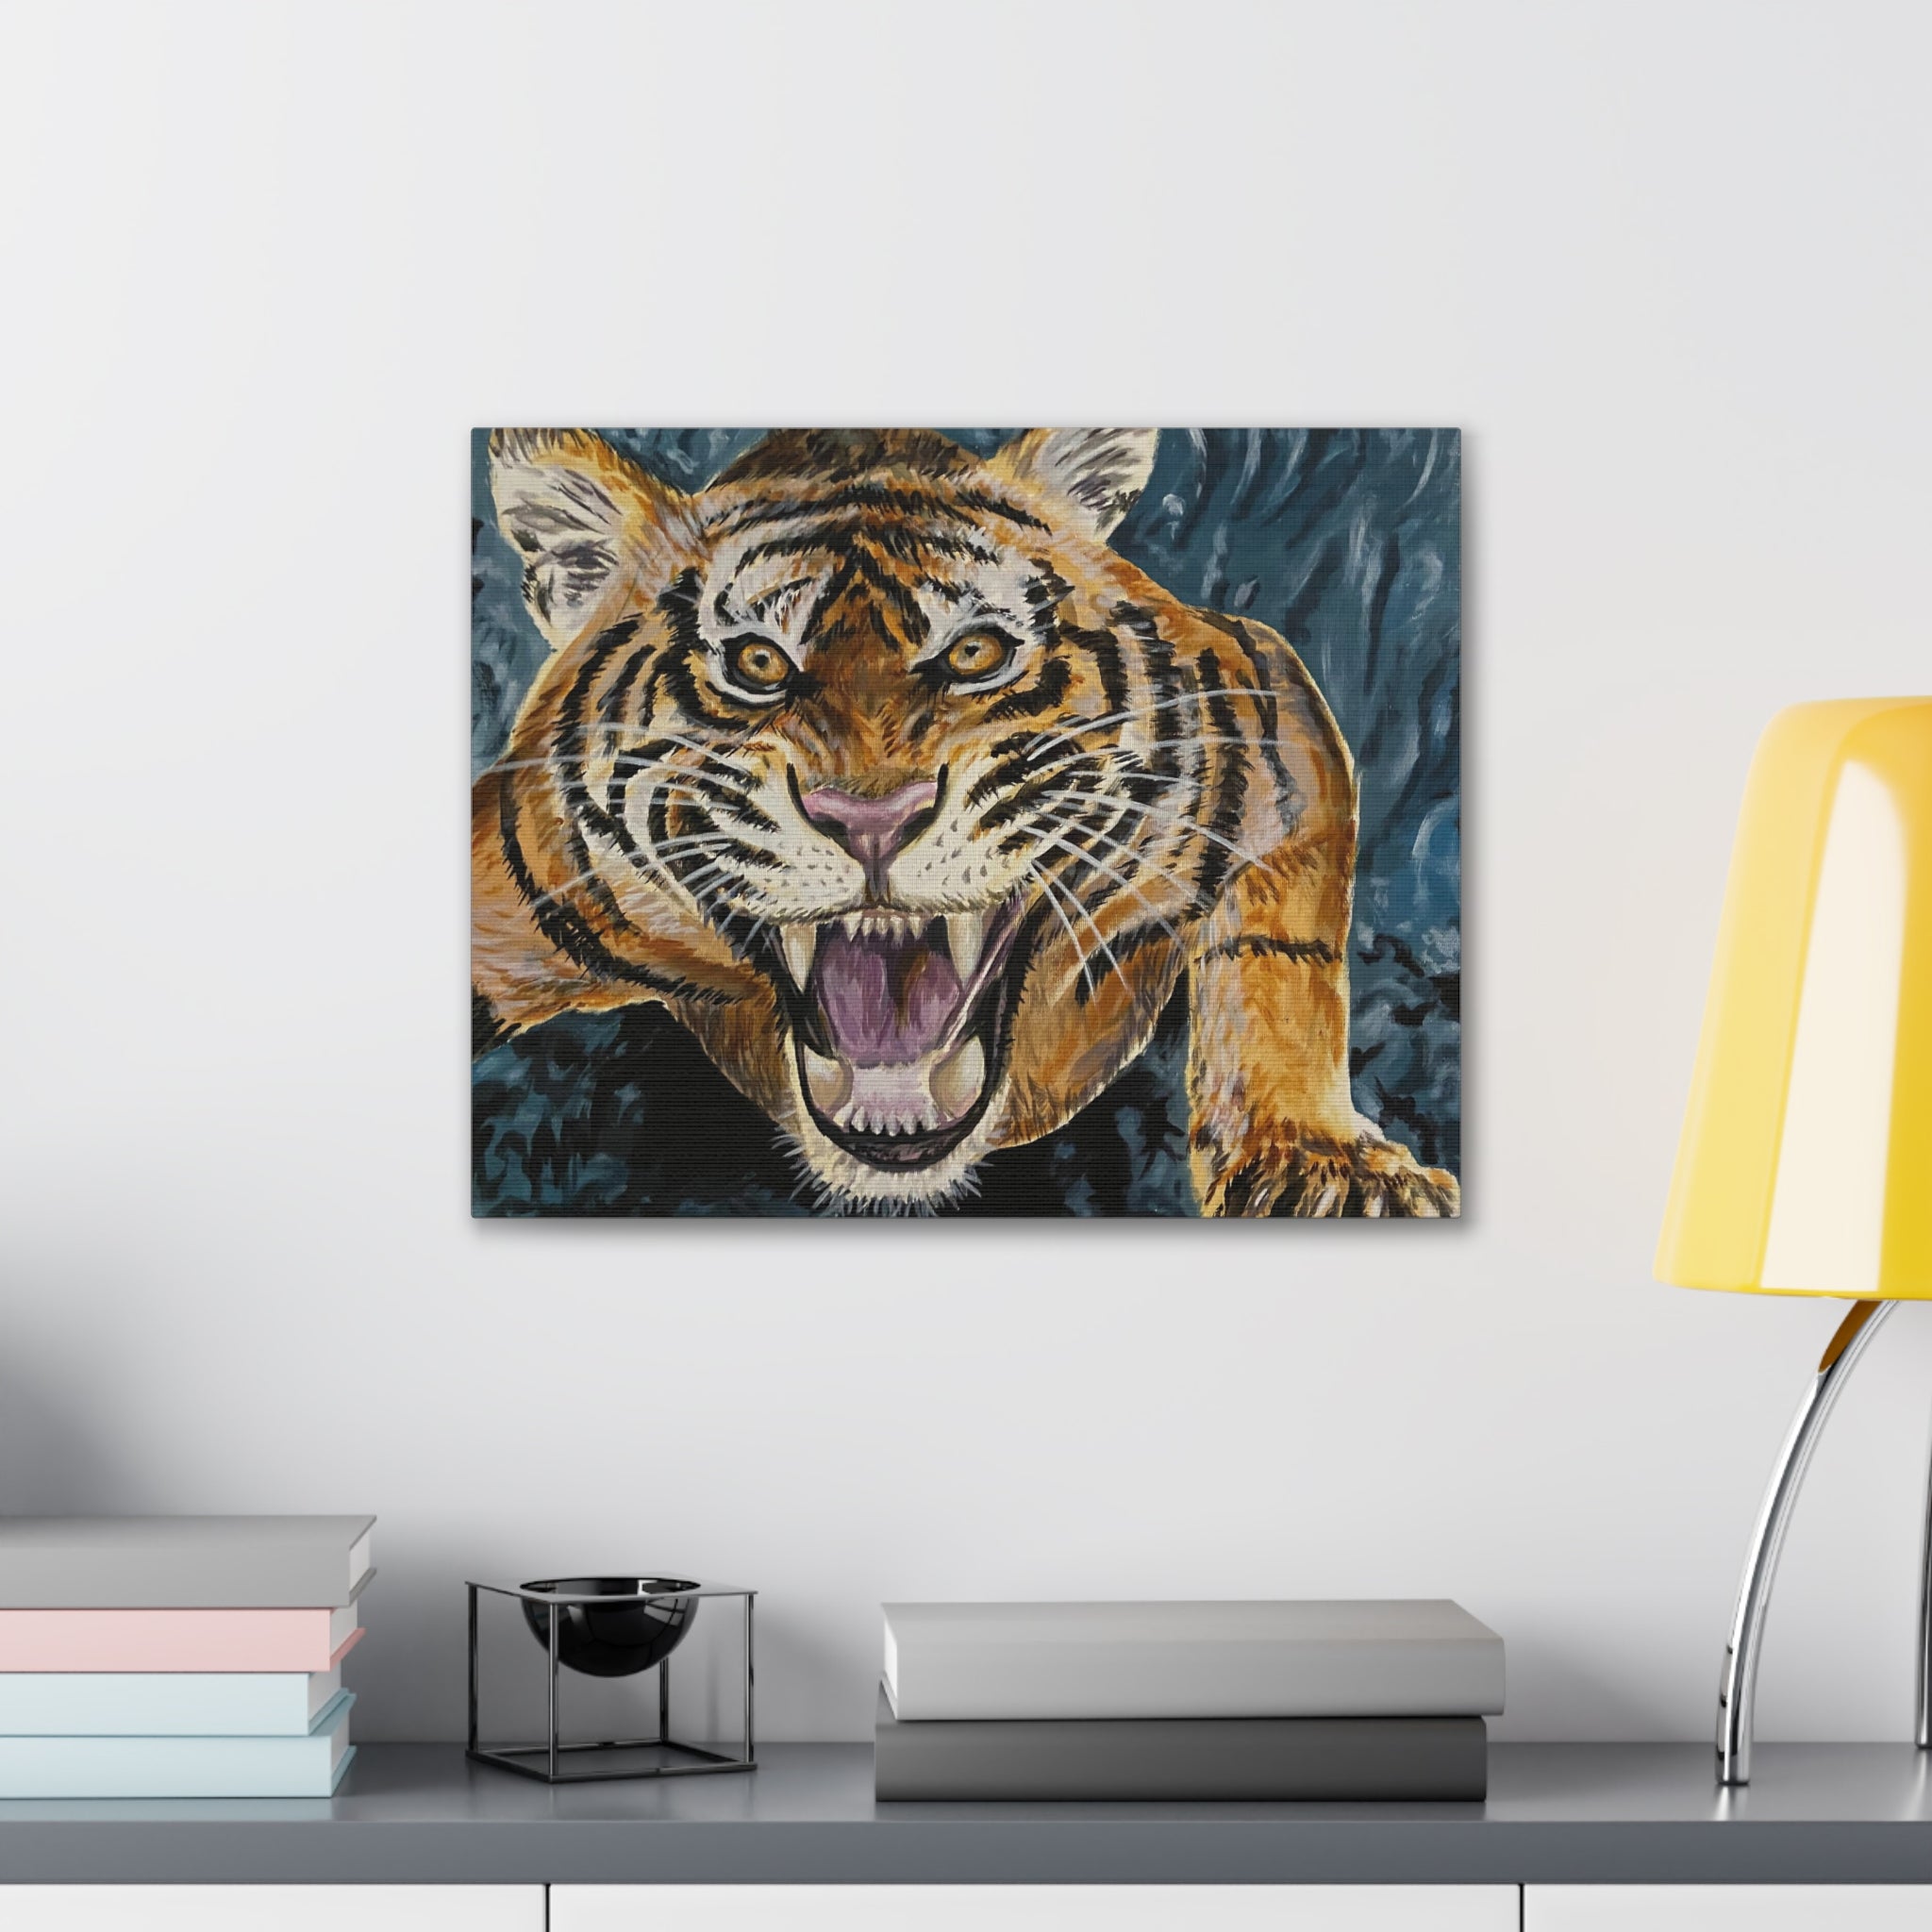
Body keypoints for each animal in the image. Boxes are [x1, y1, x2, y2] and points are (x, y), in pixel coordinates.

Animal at [472, 427, 1460, 1217]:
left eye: (976, 653)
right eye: (757, 663)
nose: (870, 818)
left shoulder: (1269, 696)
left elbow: (1284, 958)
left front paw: (1323, 1167)